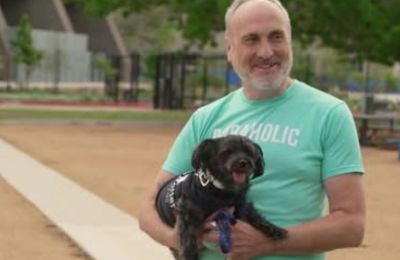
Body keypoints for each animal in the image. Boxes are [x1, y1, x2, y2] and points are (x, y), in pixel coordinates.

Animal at [155, 135, 286, 258]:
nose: (244, 162)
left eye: (249, 152)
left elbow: (255, 216)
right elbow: (188, 241)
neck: (224, 190)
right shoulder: (188, 214)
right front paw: (189, 255)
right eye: (227, 152)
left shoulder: (241, 206)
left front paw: (273, 229)